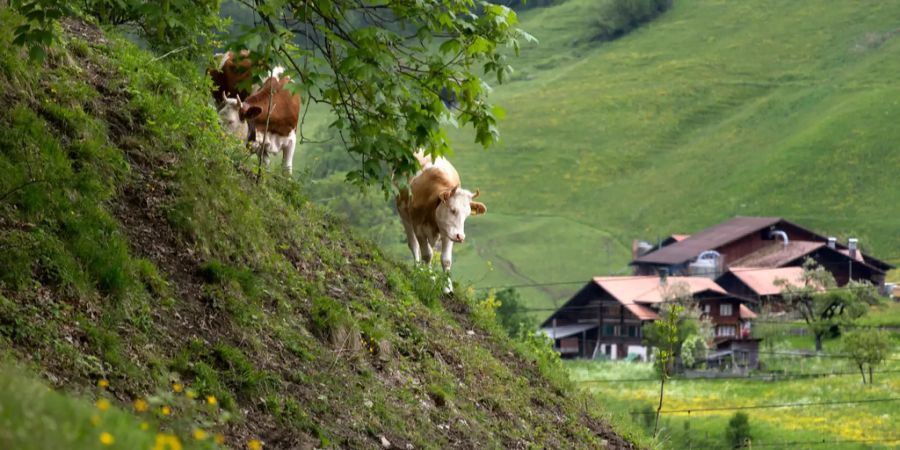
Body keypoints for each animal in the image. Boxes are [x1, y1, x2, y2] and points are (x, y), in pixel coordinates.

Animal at [398, 149, 488, 294]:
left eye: (467, 215)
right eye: (452, 209)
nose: (461, 236)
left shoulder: (448, 233)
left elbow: (446, 260)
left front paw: (447, 287)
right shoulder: (419, 229)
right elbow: (427, 254)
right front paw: (428, 278)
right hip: (404, 215)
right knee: (414, 245)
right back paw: (418, 270)